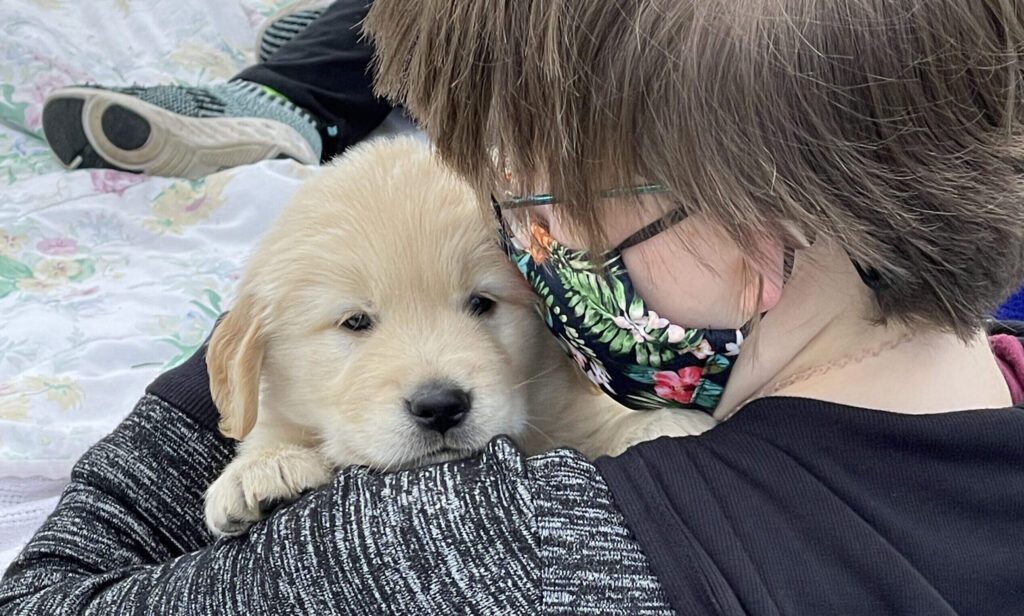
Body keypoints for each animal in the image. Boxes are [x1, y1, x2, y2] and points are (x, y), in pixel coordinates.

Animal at [199, 137, 712, 536]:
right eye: (356, 322)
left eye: (481, 303)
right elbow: (264, 431)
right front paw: (264, 469)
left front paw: (667, 424)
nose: (440, 407)